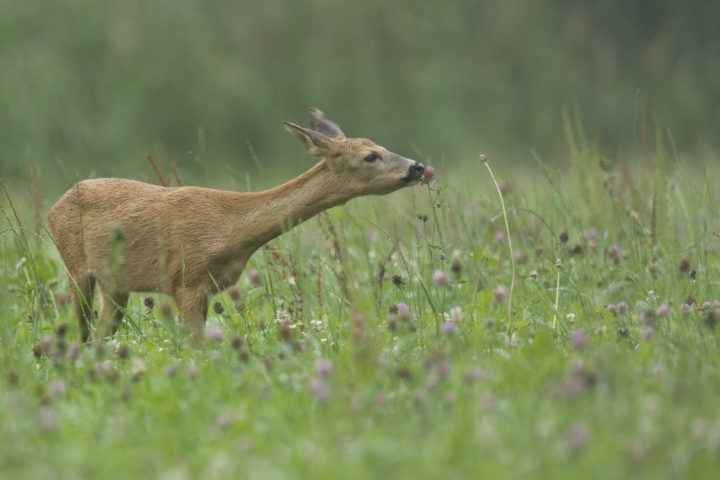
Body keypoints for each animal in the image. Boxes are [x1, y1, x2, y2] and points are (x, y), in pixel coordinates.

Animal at [47, 109, 424, 344]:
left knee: (100, 336)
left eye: (380, 146)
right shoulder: (185, 279)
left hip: (115, 285)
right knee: (82, 331)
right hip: (77, 267)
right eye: (370, 156)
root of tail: (52, 209)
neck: (231, 230)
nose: (418, 167)